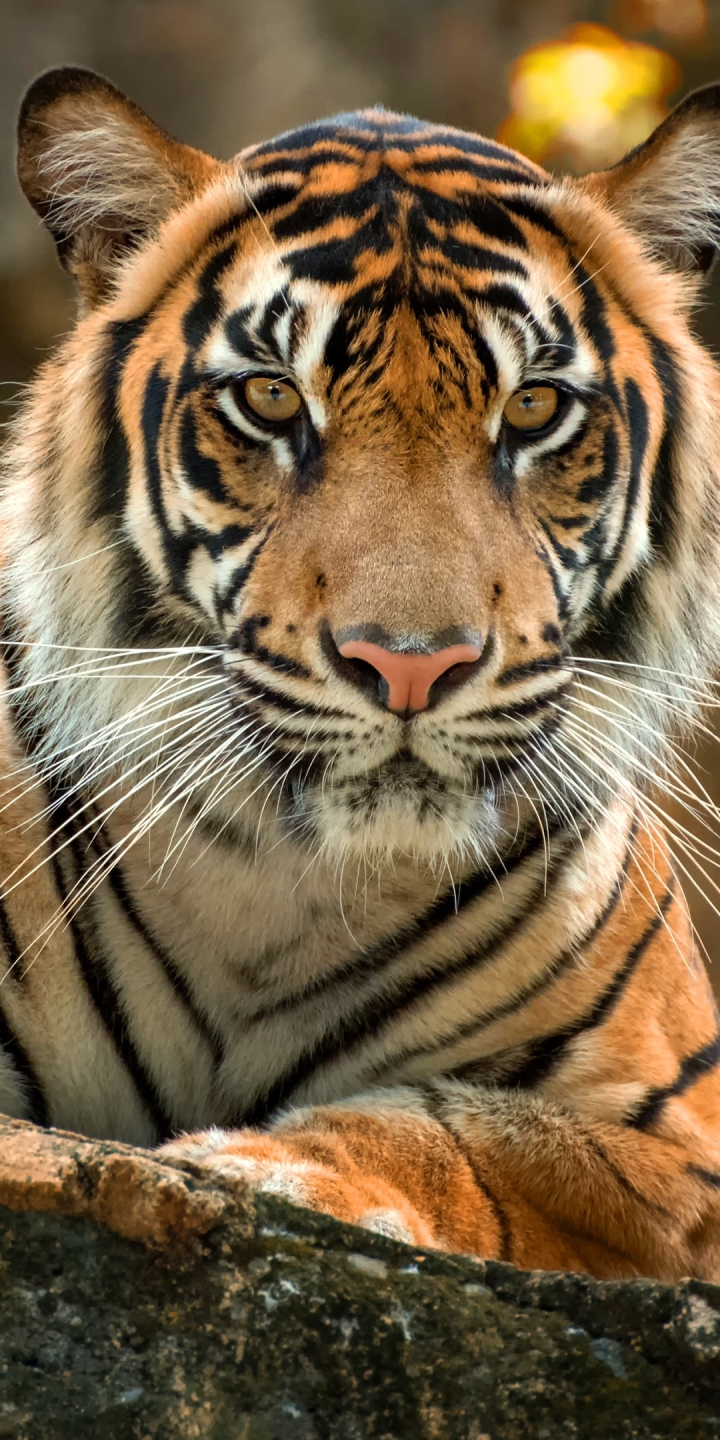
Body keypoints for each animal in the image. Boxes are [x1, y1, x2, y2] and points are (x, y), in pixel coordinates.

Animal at [1, 62, 720, 1284]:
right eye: (271, 399)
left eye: (534, 408)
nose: (410, 665)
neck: (278, 886)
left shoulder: (681, 1149)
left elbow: (472, 1131)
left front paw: (266, 1167)